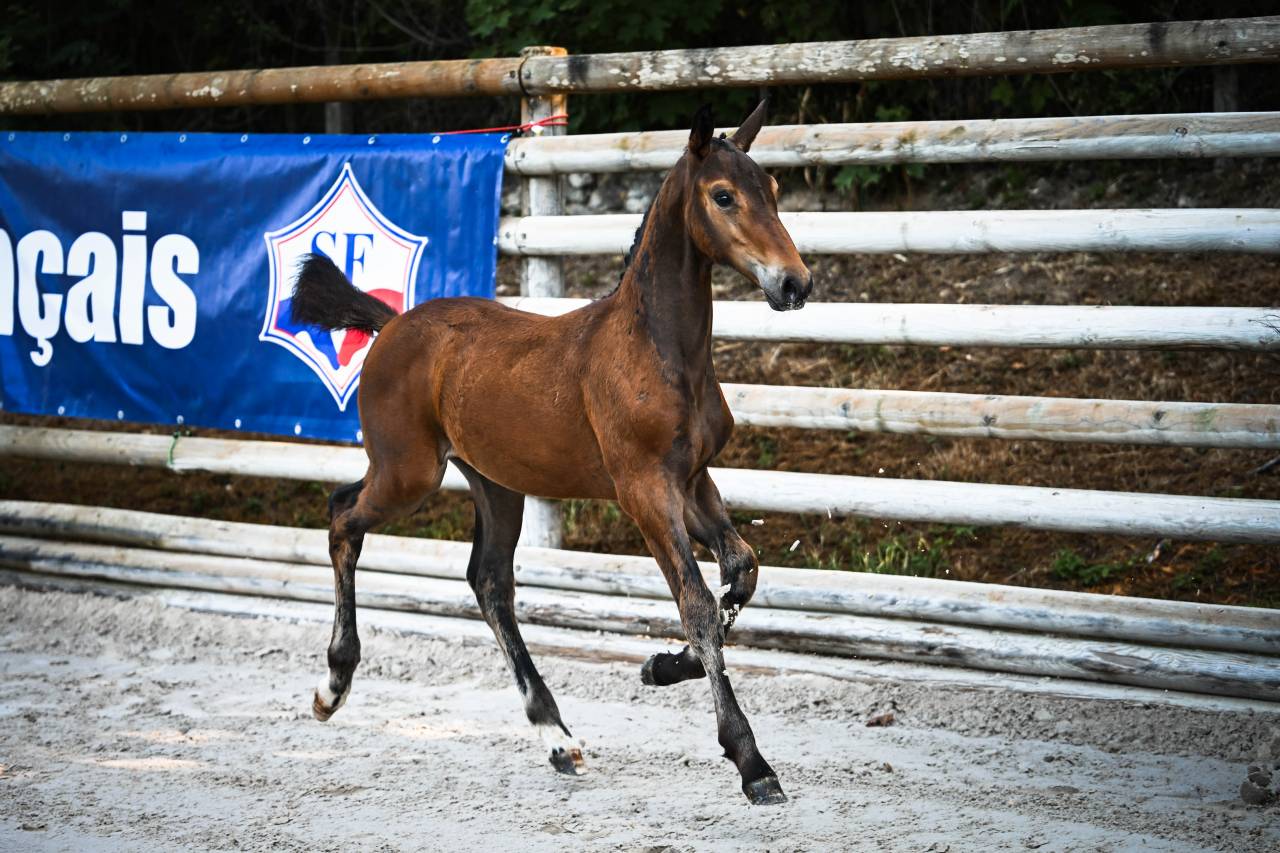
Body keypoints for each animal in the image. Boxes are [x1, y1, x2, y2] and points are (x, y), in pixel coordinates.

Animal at [289, 100, 812, 805]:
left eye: (775, 190)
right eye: (723, 195)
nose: (795, 283)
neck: (659, 351)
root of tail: (391, 323)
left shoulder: (693, 482)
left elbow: (743, 571)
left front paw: (659, 666)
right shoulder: (644, 490)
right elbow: (700, 605)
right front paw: (752, 761)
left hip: (496, 482)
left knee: (488, 582)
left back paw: (558, 738)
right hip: (409, 472)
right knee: (343, 516)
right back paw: (333, 685)